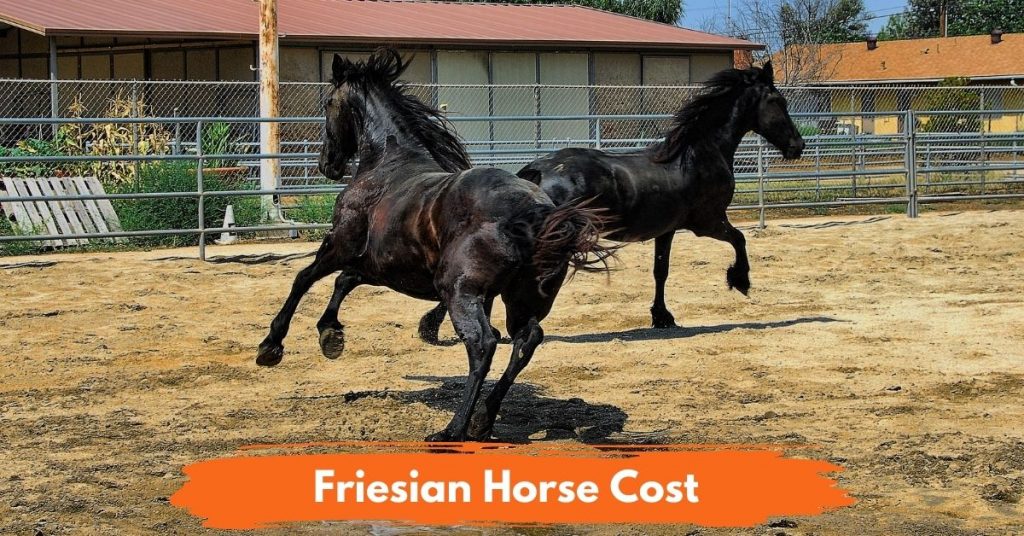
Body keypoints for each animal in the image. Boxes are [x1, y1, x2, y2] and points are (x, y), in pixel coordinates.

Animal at [256, 48, 613, 442]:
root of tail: (535, 212)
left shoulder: (341, 243)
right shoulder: (386, 266)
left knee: (484, 344)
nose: (326, 165)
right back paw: (482, 420)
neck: (387, 163)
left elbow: (304, 278)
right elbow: (344, 281)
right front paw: (331, 335)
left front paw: (271, 346)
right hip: (524, 298)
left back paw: (453, 429)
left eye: (328, 102)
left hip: (461, 291)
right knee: (526, 340)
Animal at [416, 61, 804, 341]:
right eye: (778, 102)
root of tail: (537, 170)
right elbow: (739, 239)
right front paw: (740, 281)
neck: (698, 153)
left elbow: (660, 271)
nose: (797, 146)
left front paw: (662, 317)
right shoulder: (707, 222)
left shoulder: (668, 230)